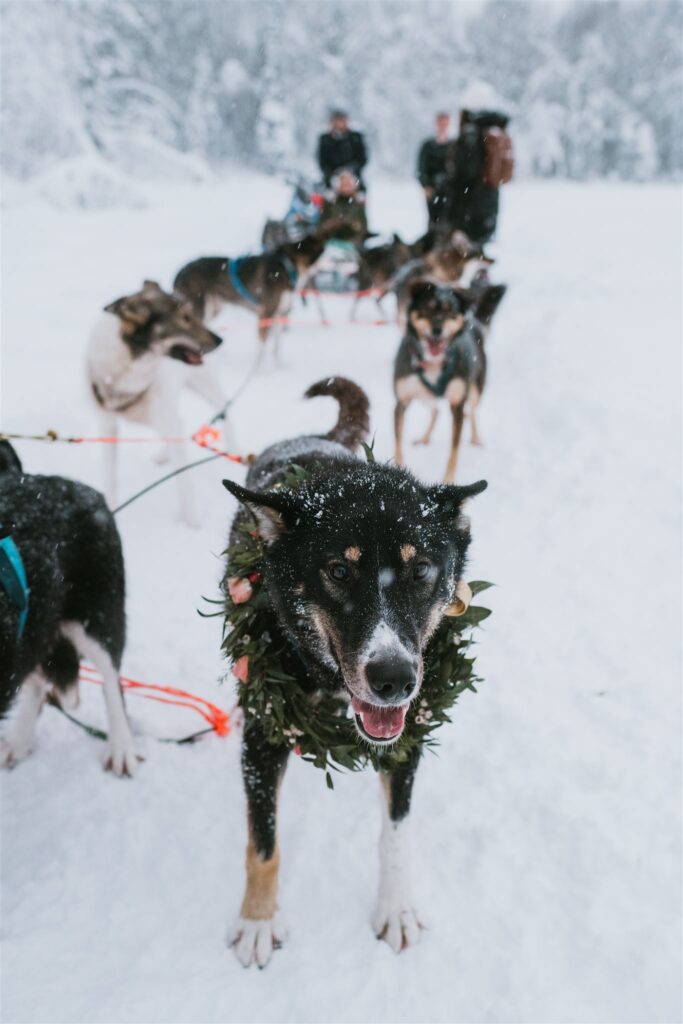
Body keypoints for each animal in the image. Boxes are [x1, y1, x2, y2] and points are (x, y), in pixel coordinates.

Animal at [222, 378, 489, 966]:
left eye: (421, 569)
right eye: (339, 571)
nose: (394, 679)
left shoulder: (410, 734)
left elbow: (396, 833)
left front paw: (396, 908)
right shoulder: (262, 736)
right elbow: (262, 841)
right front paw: (258, 919)